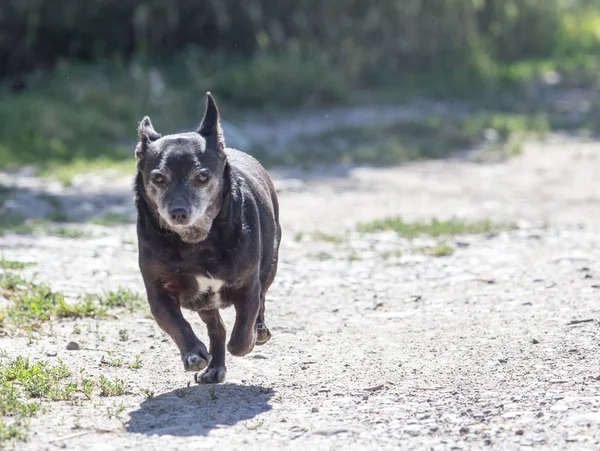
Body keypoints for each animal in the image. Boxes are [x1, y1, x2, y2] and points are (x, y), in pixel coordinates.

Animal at [134, 93, 282, 384]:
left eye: (202, 177)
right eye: (158, 178)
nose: (178, 211)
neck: (196, 241)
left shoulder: (248, 286)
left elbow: (242, 333)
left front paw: (250, 338)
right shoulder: (158, 293)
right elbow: (177, 323)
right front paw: (193, 353)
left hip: (270, 266)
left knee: (260, 303)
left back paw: (259, 330)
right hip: (205, 303)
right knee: (217, 327)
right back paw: (214, 367)